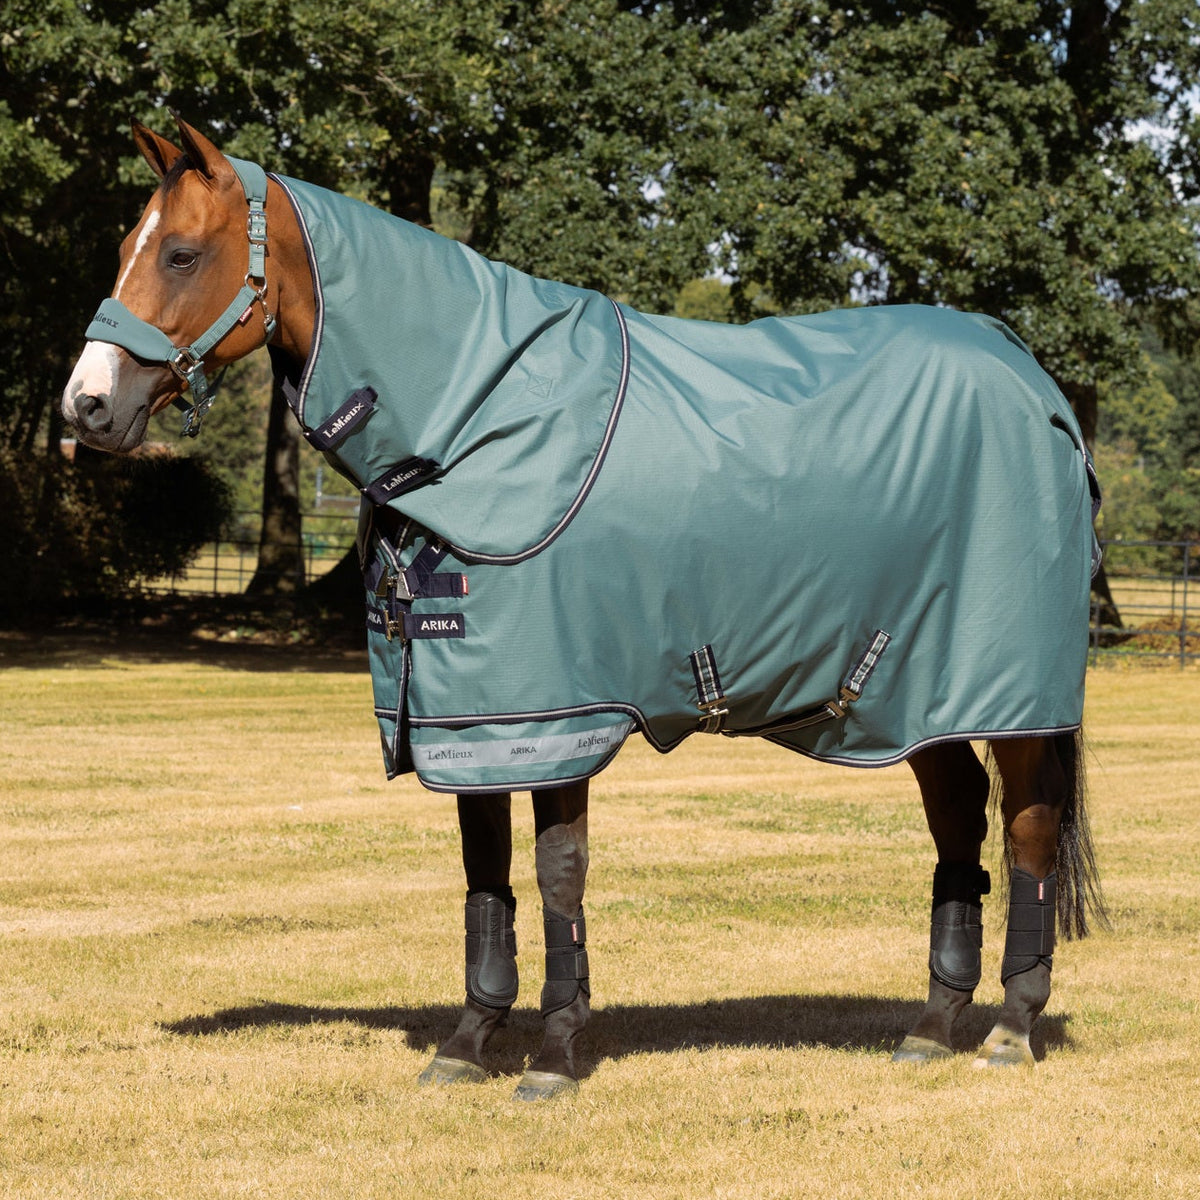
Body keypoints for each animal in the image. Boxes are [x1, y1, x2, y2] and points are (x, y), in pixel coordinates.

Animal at [62, 116, 1105, 1100]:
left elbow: (556, 873)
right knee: (959, 819)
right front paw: (467, 1044)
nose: (87, 407)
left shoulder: (556, 713)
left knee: (1028, 831)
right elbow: (485, 873)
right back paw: (930, 1028)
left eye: (180, 254)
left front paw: (556, 1056)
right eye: (123, 246)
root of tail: (1032, 380)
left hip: (1006, 694)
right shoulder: (466, 719)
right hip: (918, 695)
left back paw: (1010, 1028)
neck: (478, 422)